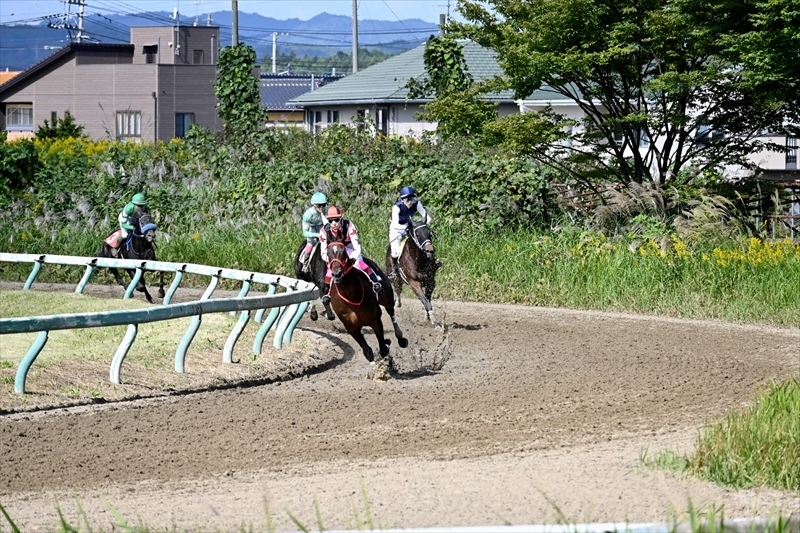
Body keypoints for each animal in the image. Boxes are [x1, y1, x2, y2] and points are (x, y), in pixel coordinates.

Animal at [326, 242, 410, 370]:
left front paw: (386, 345)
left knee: (391, 312)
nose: (337, 274)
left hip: (387, 298)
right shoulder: (351, 328)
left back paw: (400, 338)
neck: (352, 297)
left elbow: (383, 348)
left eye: (343, 253)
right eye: (328, 253)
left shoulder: (375, 319)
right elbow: (367, 351)